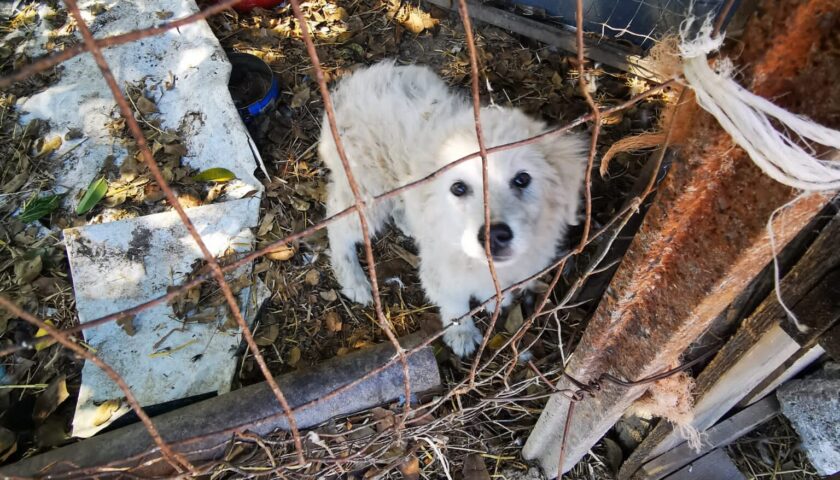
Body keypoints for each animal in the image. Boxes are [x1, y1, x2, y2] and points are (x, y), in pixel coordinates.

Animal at [318, 61, 588, 356]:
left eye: (522, 179)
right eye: (458, 188)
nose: (494, 236)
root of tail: (352, 83)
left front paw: (492, 300)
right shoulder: (442, 273)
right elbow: (455, 304)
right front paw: (462, 335)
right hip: (369, 190)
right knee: (338, 224)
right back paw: (354, 280)